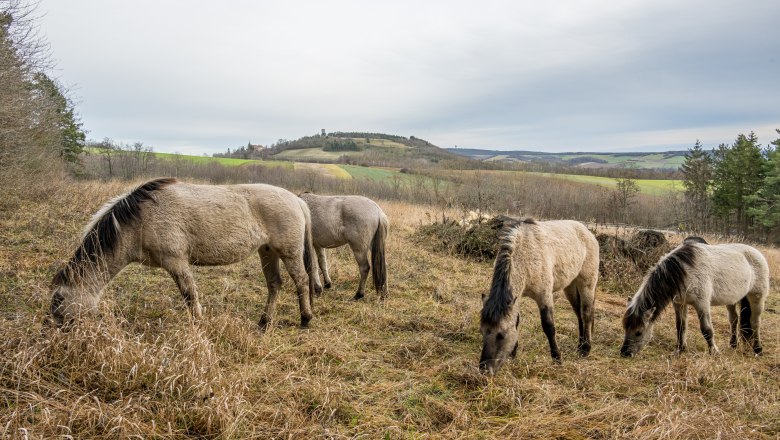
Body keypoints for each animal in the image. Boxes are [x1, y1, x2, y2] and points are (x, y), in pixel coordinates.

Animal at [50, 177, 318, 328]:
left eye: (59, 300)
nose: (57, 331)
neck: (140, 219)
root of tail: (296, 200)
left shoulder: (176, 262)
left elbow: (189, 295)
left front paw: (198, 324)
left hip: (289, 252)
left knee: (302, 280)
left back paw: (305, 319)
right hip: (267, 252)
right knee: (274, 284)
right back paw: (264, 322)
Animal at [478, 218, 600, 372]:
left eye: (501, 335)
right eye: (482, 332)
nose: (484, 369)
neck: (524, 253)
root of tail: (586, 231)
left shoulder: (544, 296)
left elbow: (549, 326)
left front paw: (557, 358)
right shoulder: (517, 297)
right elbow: (516, 321)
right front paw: (513, 354)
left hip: (587, 283)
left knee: (586, 314)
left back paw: (585, 349)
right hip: (570, 286)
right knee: (578, 314)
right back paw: (580, 345)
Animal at [620, 237, 772, 358]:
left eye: (638, 332)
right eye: (625, 328)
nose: (625, 353)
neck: (684, 271)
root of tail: (757, 253)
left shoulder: (702, 304)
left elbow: (707, 330)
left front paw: (714, 352)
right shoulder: (679, 304)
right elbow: (681, 326)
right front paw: (680, 349)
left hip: (757, 297)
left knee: (755, 322)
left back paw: (758, 349)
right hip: (732, 299)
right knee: (734, 319)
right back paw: (733, 344)